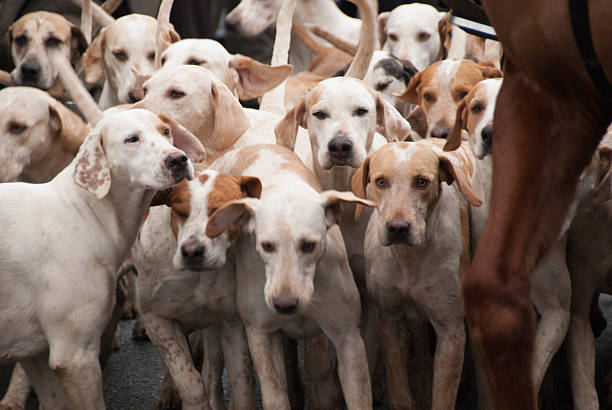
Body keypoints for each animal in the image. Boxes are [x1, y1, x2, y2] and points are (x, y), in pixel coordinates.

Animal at [0, 109, 203, 410]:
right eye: (131, 139)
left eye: (166, 131)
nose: (178, 159)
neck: (82, 211)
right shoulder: (75, 355)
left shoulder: (34, 353)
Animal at [133, 169, 260, 410]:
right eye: (180, 211)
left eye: (219, 212)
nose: (192, 251)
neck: (197, 277)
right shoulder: (157, 321)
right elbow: (188, 379)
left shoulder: (232, 323)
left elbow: (243, 384)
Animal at [208, 143, 376, 408]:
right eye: (266, 246)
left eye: (309, 245)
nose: (284, 304)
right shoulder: (260, 334)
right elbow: (275, 396)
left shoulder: (348, 338)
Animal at [352, 139, 480, 408]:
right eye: (380, 181)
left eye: (422, 182)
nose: (398, 228)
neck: (409, 259)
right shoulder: (389, 319)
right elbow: (400, 393)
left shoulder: (451, 329)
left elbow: (444, 397)